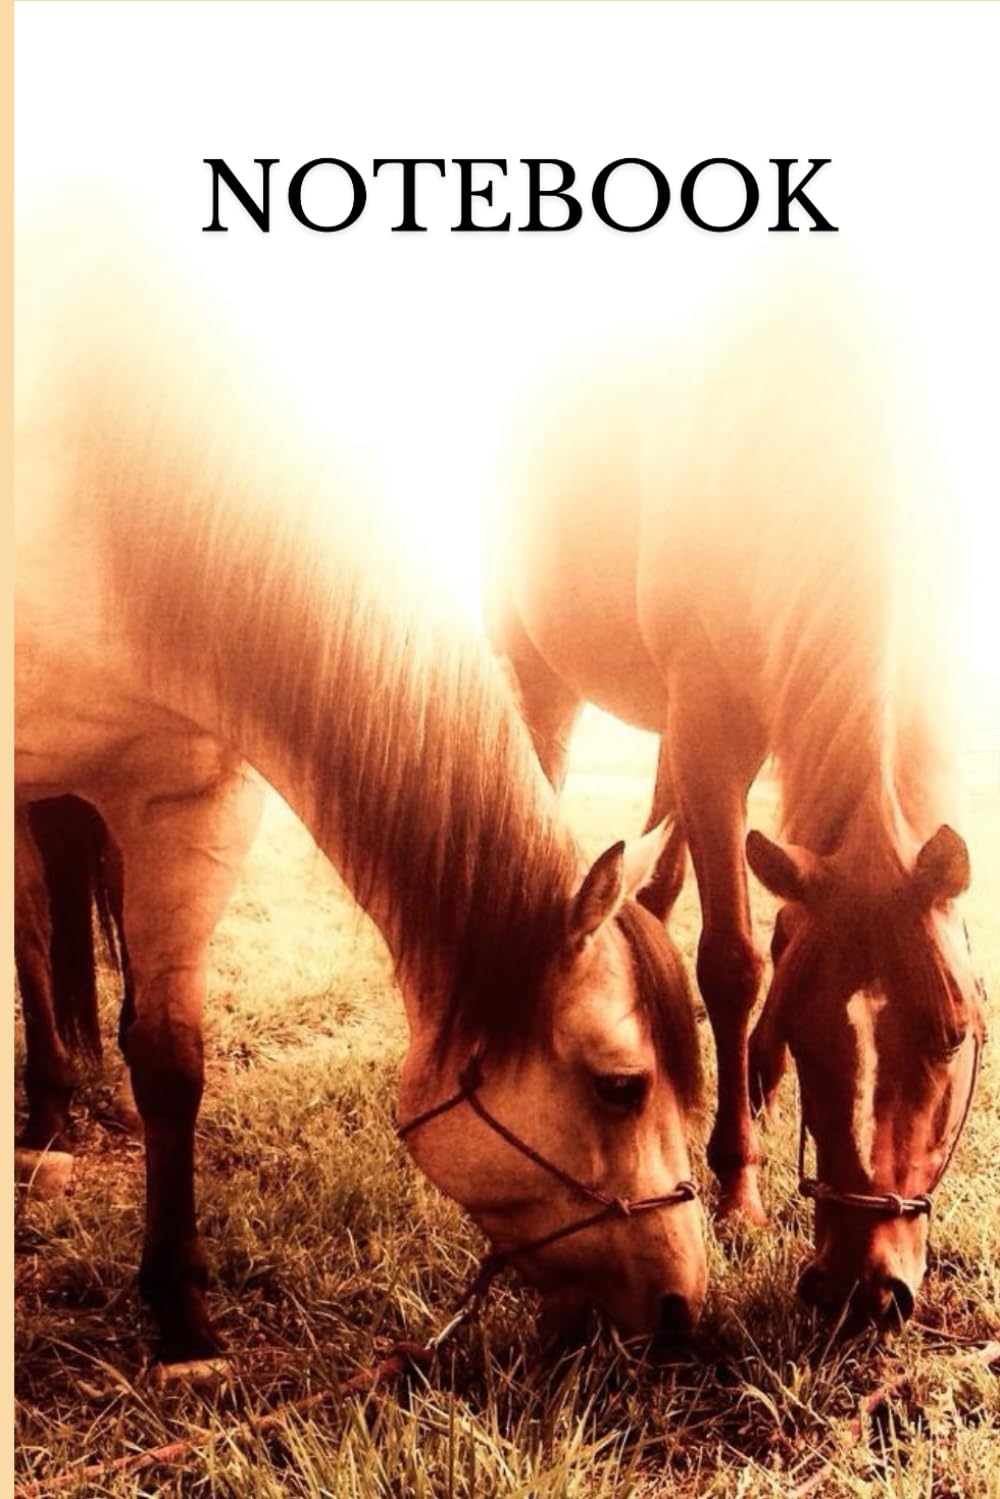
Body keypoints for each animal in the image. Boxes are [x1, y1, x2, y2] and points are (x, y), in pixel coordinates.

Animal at [487, 264, 986, 1327]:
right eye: (809, 1031)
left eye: (954, 1033)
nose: (863, 1288)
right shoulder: (712, 726)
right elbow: (734, 961)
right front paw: (740, 1187)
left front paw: (752, 1085)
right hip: (549, 679)